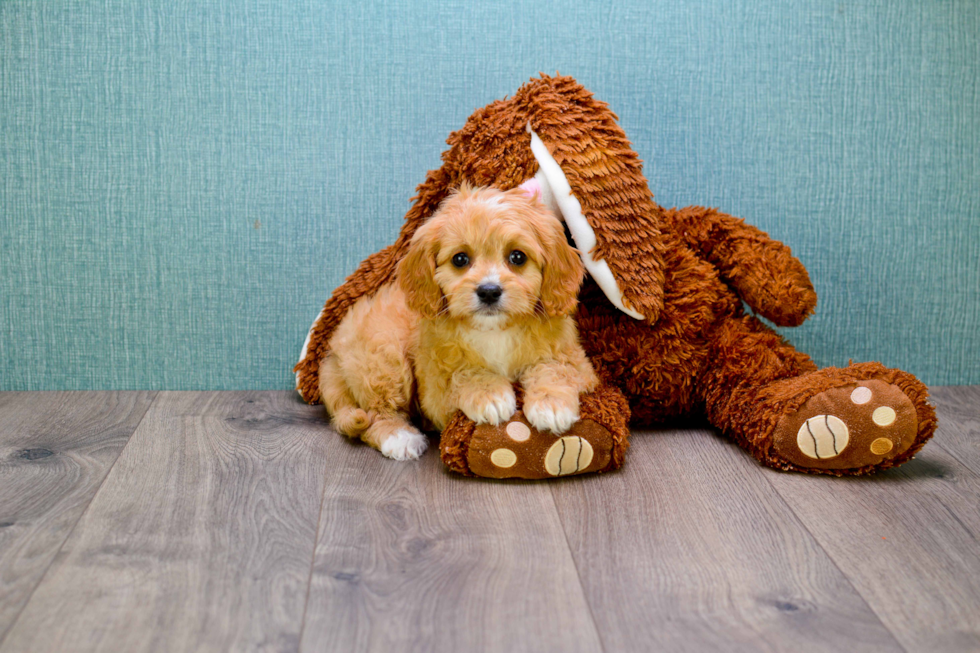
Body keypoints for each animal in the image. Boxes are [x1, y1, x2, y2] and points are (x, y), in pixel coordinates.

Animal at [320, 183, 596, 458]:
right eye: (460, 259)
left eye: (517, 257)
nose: (489, 291)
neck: (495, 330)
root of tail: (333, 356)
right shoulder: (434, 391)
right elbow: (463, 374)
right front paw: (490, 395)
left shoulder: (578, 363)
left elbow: (556, 368)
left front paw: (552, 404)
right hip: (384, 357)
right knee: (376, 414)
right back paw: (399, 437)